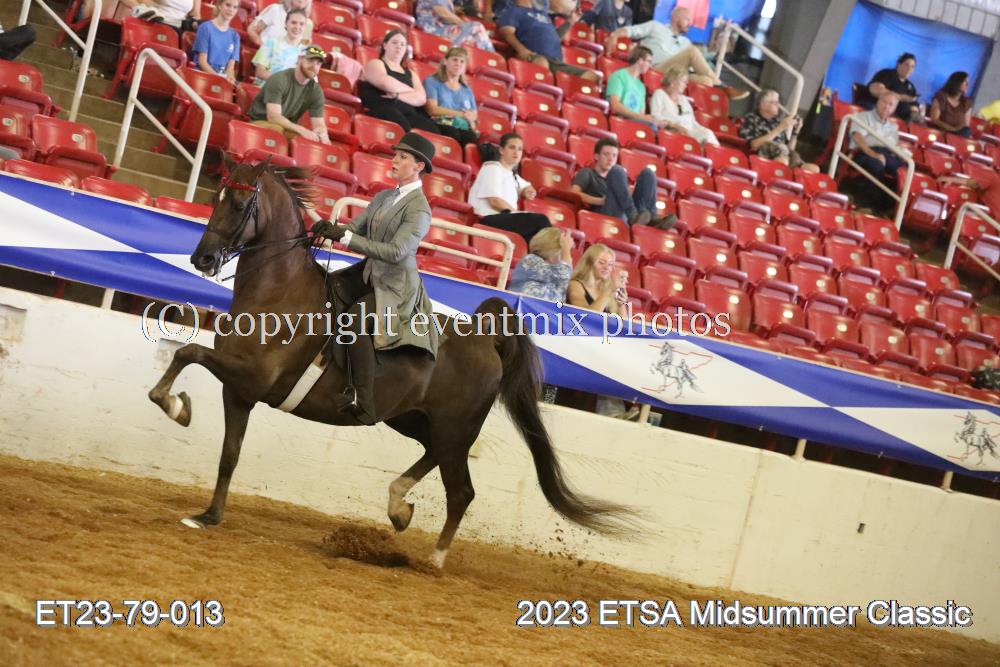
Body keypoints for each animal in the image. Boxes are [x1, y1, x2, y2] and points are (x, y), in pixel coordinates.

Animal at [147, 159, 630, 568]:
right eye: (216, 196)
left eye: (239, 202)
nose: (202, 259)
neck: (278, 292)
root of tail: (485, 338)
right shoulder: (239, 390)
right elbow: (228, 454)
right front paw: (208, 514)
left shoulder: (254, 377)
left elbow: (187, 353)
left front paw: (174, 405)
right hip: (414, 419)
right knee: (432, 457)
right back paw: (399, 506)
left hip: (455, 428)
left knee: (461, 491)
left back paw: (434, 558)